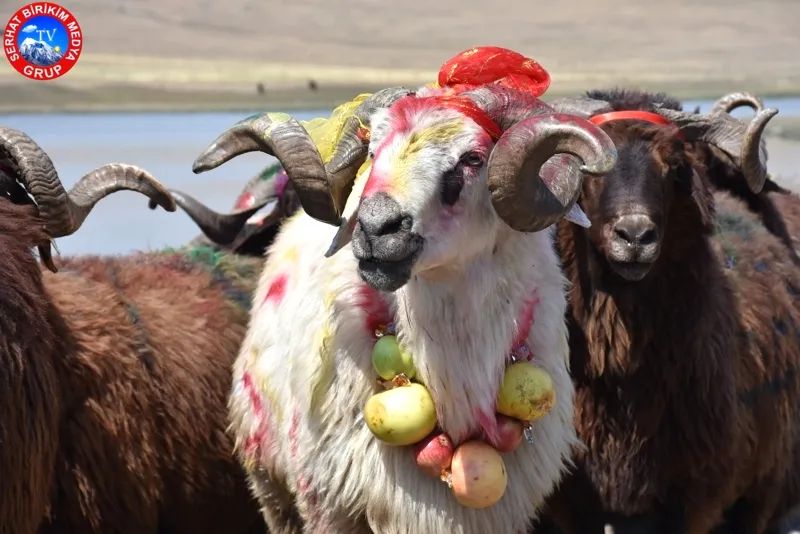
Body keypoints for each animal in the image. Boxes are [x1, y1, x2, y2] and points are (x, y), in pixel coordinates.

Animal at [532, 94, 800, 532]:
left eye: (673, 166)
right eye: (585, 168)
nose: (635, 236)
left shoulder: (695, 495)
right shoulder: (571, 498)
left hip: (764, 490)